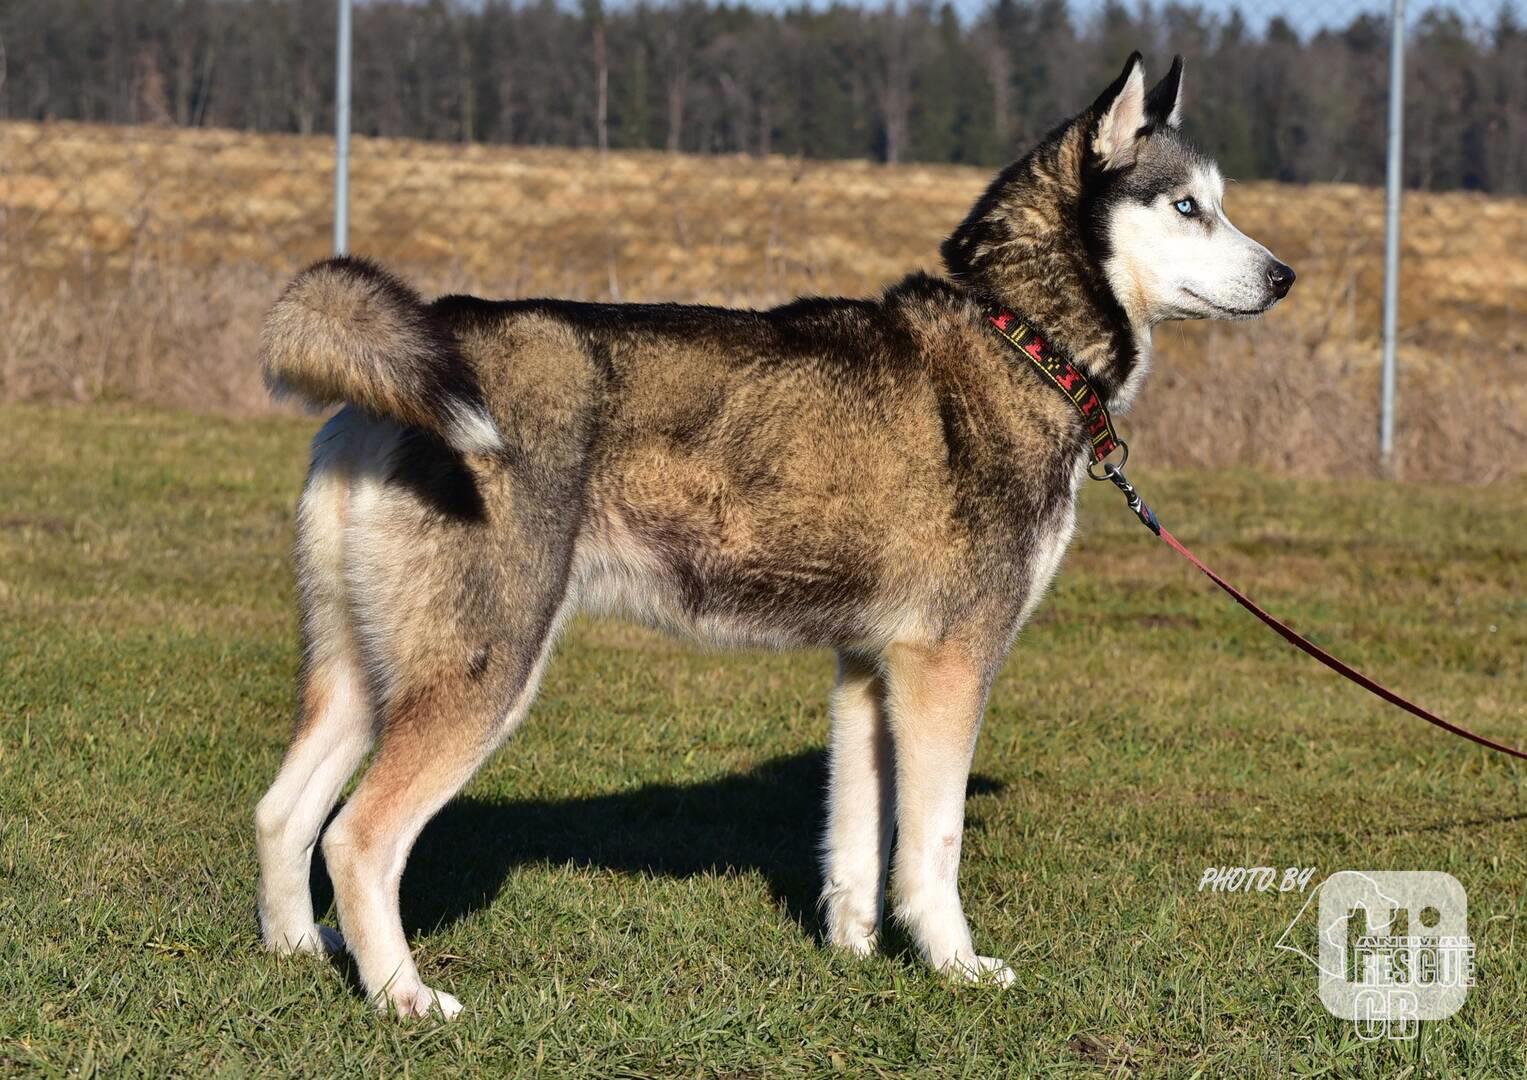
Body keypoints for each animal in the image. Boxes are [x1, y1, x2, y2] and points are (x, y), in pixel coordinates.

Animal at [250, 54, 1288, 1020]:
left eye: (1221, 205)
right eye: (1189, 206)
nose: (1284, 275)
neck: (1022, 338)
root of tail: (430, 336)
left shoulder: (871, 672)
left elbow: (860, 846)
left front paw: (856, 954)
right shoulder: (948, 663)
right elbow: (933, 845)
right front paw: (954, 965)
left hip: (365, 673)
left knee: (281, 813)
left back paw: (296, 953)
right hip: (485, 668)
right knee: (357, 838)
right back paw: (403, 997)